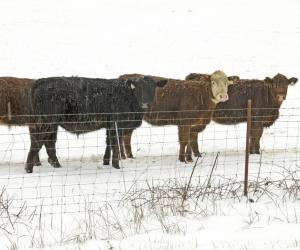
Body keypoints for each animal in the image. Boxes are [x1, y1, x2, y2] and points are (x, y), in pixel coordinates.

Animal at [25, 76, 166, 173]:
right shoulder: (117, 124)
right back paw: (29, 168)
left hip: (52, 124)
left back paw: (56, 165)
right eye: (138, 88)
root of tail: (40, 81)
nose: (145, 103)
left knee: (49, 143)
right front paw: (116, 166)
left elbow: (108, 143)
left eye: (152, 88)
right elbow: (116, 144)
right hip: (46, 121)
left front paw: (106, 162)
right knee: (37, 141)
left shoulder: (109, 125)